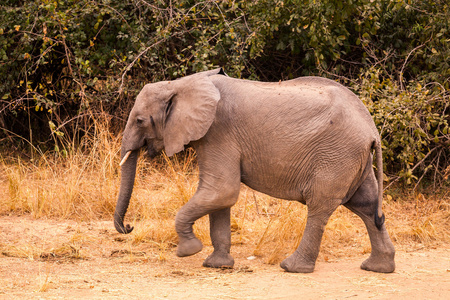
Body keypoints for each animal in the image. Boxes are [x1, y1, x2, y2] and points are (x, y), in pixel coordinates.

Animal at [114, 68, 396, 274]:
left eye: (140, 120)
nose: (129, 226)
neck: (182, 84)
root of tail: (372, 130)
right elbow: (219, 198)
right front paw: (217, 265)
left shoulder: (218, 132)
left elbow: (222, 191)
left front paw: (189, 250)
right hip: (352, 158)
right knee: (367, 206)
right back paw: (378, 268)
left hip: (336, 156)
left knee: (320, 207)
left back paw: (292, 267)